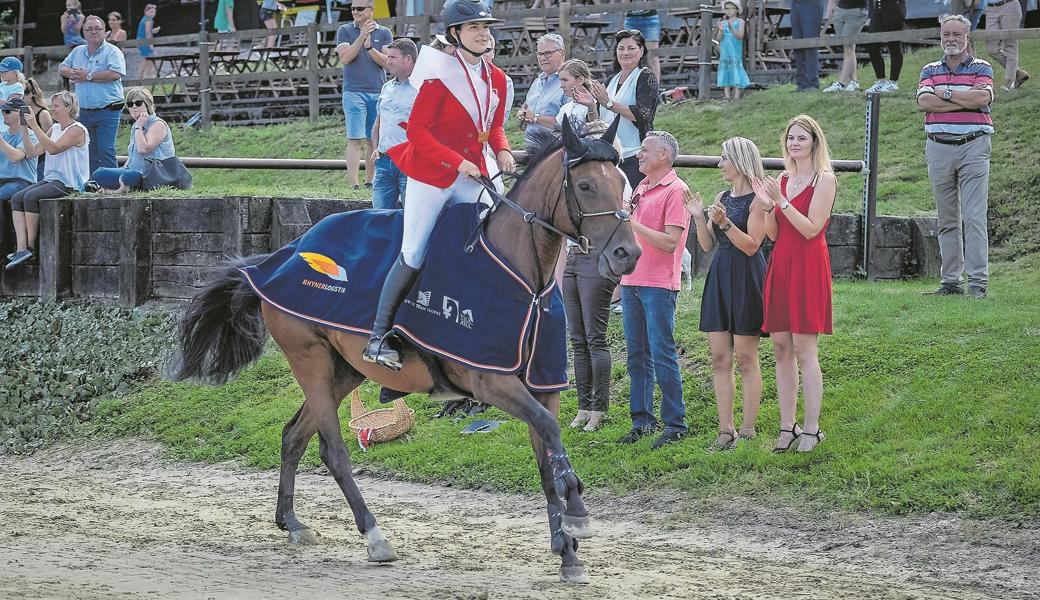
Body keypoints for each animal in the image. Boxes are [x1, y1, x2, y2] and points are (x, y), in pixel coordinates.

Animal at [168, 118, 640, 586]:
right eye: (585, 185)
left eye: (623, 183)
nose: (628, 254)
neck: (525, 278)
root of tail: (280, 257)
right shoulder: (491, 379)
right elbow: (550, 432)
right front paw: (577, 515)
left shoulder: (544, 386)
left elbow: (547, 457)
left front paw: (567, 552)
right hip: (310, 358)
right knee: (332, 450)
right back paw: (374, 536)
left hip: (344, 370)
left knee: (293, 436)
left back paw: (292, 522)